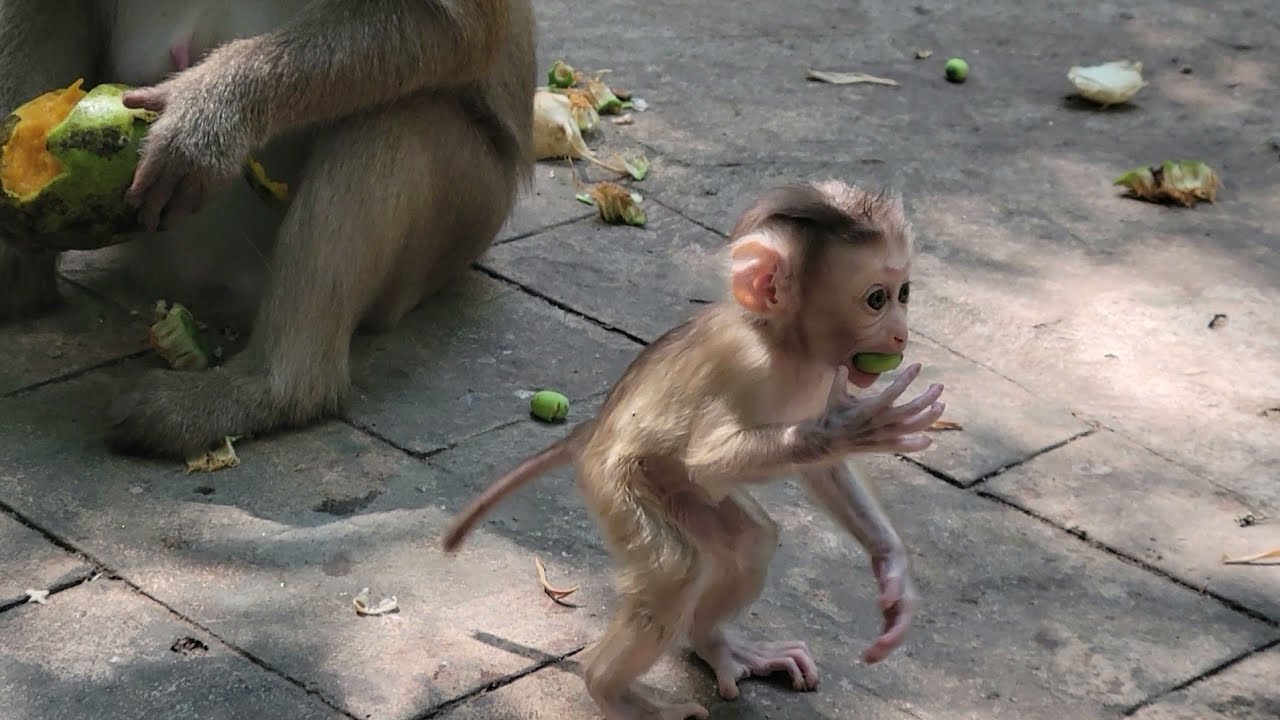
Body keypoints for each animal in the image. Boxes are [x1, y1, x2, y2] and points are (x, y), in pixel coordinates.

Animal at [0, 0, 536, 459]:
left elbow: (453, 28)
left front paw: (205, 122)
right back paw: (21, 285)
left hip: (463, 222)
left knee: (396, 115)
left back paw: (270, 391)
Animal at [442, 180, 945, 720]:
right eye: (876, 299)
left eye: (904, 293)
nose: (901, 332)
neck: (787, 345)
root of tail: (596, 431)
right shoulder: (744, 363)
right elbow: (708, 458)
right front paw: (855, 429)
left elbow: (823, 472)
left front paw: (892, 569)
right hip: (619, 484)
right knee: (673, 573)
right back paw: (612, 692)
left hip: (675, 488)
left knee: (748, 540)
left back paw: (715, 644)